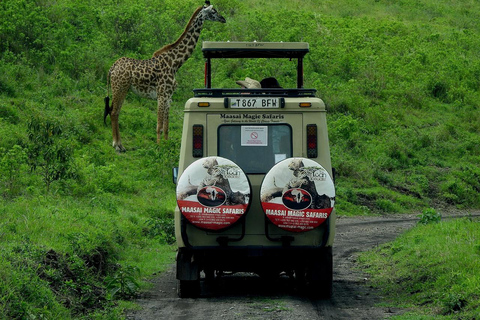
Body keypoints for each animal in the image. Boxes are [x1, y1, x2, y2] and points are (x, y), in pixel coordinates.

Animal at [103, 1, 225, 152]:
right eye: (213, 11)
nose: (223, 19)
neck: (175, 63)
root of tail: (112, 68)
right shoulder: (161, 95)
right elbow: (159, 126)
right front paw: (158, 147)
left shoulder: (168, 97)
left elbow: (166, 127)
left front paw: (167, 146)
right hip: (120, 88)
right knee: (114, 112)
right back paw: (117, 145)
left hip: (122, 89)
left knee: (115, 112)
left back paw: (119, 144)